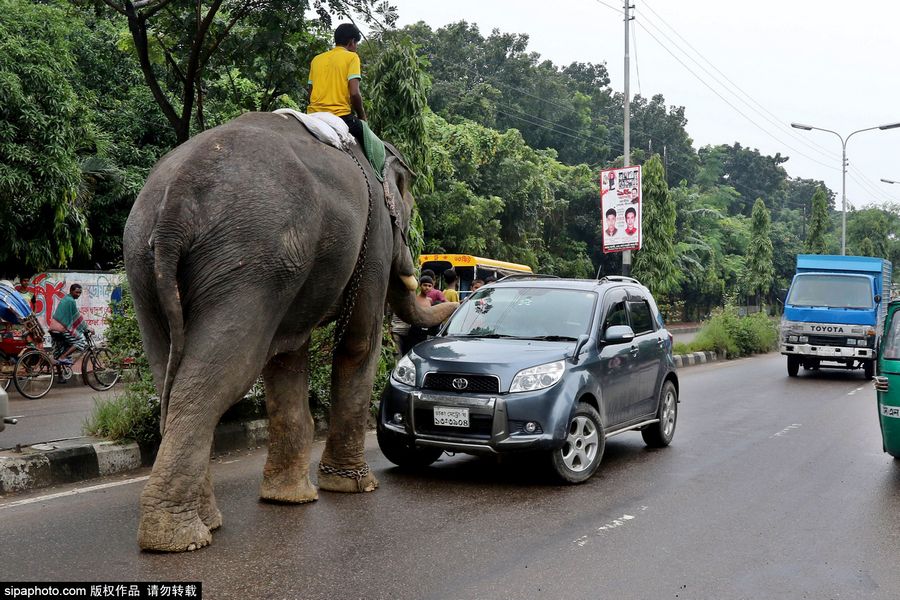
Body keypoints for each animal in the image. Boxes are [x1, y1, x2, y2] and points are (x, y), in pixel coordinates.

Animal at [124, 112, 458, 552]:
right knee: (218, 376)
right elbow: (358, 343)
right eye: (408, 211)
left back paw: (202, 524)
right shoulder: (375, 242)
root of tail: (175, 203)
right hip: (251, 258)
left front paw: (288, 499)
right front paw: (355, 487)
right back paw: (179, 539)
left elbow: (286, 354)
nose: (451, 297)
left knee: (168, 369)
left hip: (147, 264)